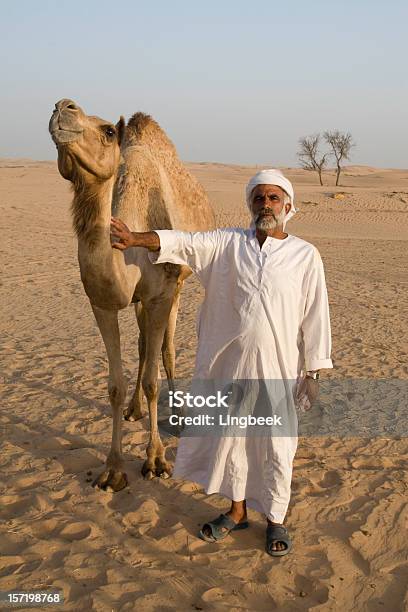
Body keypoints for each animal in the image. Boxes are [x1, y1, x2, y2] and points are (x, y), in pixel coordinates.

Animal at [48, 99, 217, 492]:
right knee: (142, 346)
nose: (63, 106)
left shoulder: (161, 295)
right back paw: (134, 409)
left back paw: (179, 417)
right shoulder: (102, 302)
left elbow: (156, 376)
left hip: (178, 288)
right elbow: (114, 385)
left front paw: (155, 461)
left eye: (109, 131)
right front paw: (113, 469)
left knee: (166, 351)